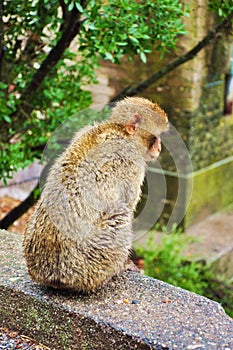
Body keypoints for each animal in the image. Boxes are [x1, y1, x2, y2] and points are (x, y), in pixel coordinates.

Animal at [23, 96, 168, 292]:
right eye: (156, 137)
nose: (159, 148)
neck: (120, 131)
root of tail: (50, 275)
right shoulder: (134, 163)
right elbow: (128, 203)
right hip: (88, 266)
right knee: (120, 214)